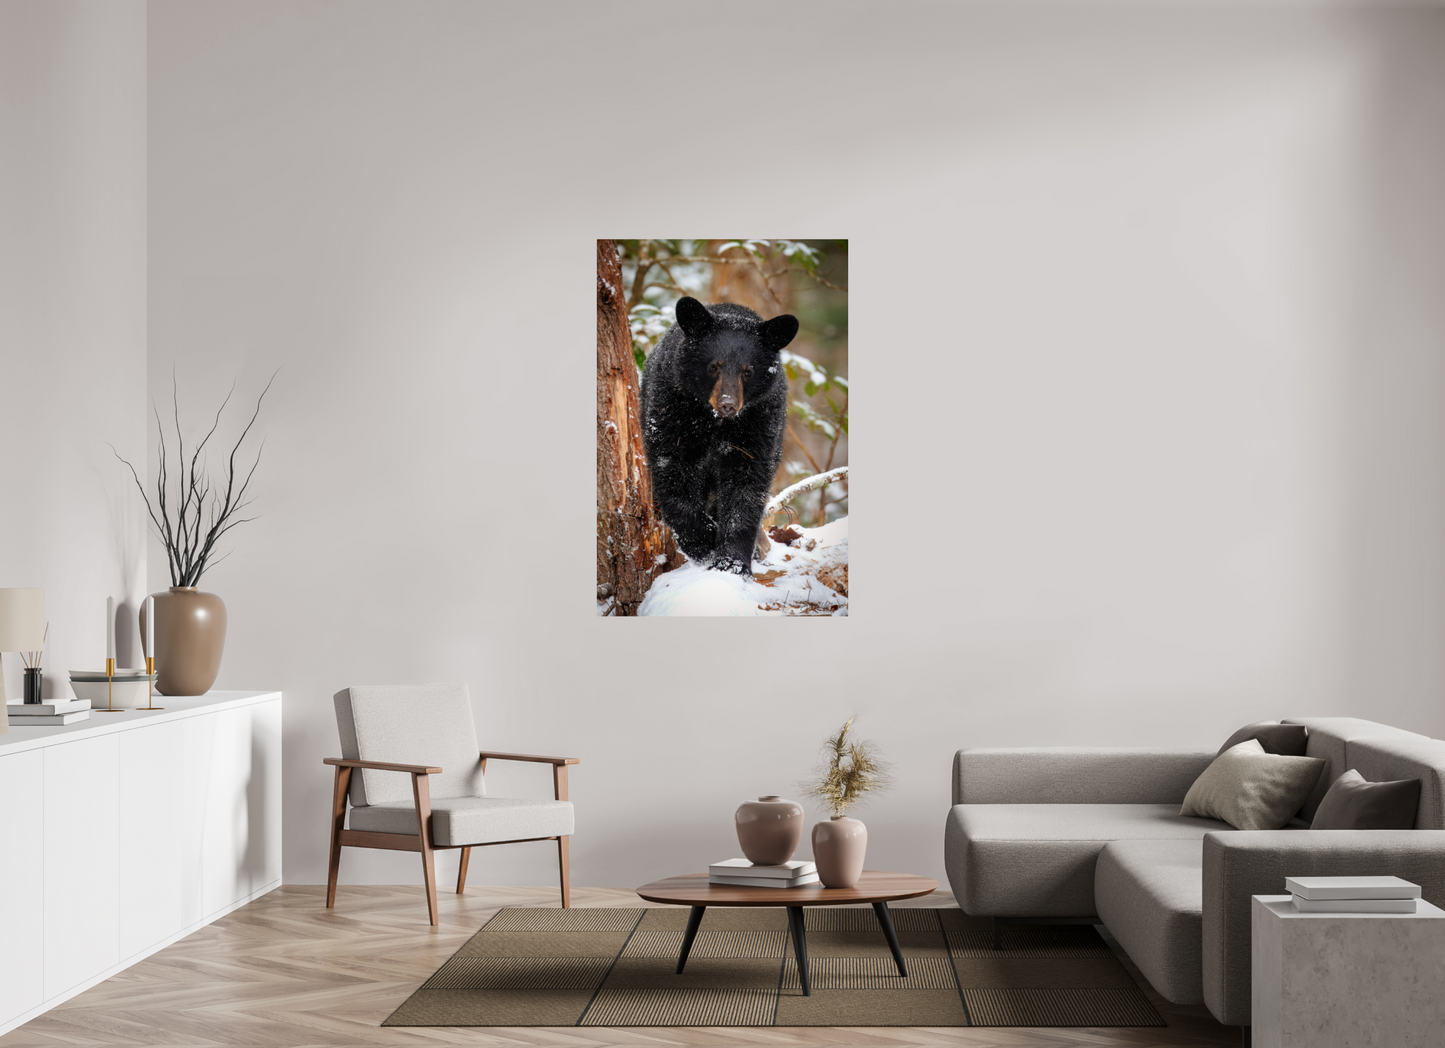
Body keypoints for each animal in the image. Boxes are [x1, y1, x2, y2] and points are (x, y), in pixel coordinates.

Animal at [640, 296, 799, 575]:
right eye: (714, 366)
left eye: (748, 371)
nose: (728, 405)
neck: (715, 422)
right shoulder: (671, 407)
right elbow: (672, 469)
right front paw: (704, 543)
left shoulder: (759, 419)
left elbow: (746, 484)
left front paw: (732, 564)